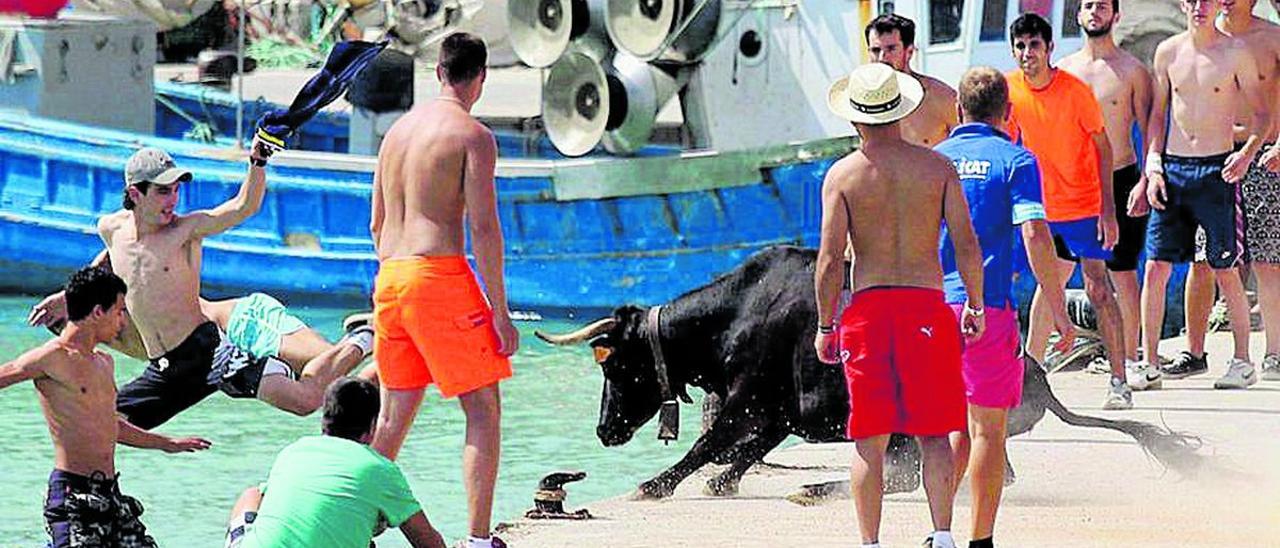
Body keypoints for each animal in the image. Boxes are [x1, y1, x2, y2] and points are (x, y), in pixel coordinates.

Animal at [532, 245, 1198, 499]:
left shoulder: (750, 399)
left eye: (615, 365)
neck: (737, 311)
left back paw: (817, 488)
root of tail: (1037, 374)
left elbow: (709, 444)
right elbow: (740, 450)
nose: (603, 432)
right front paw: (720, 482)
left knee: (909, 475)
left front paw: (655, 484)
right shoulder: (777, 410)